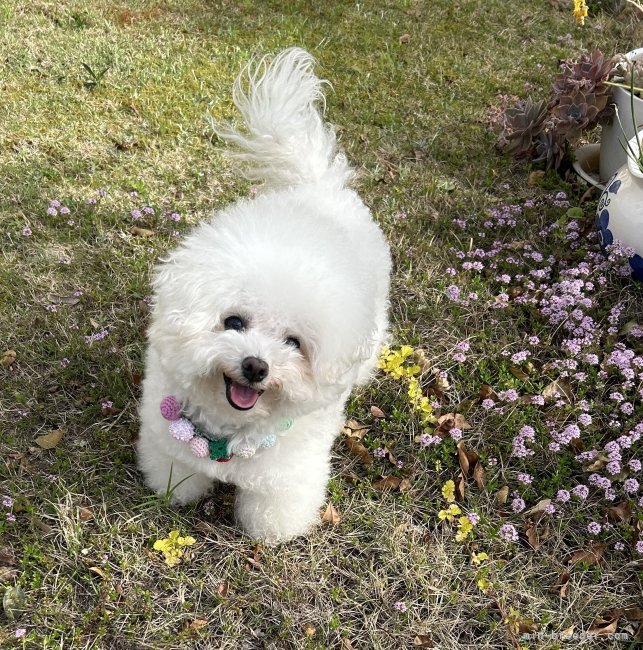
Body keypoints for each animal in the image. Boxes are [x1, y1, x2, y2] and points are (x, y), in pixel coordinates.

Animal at [138, 46, 392, 540]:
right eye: (233, 321)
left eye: (294, 343)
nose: (256, 366)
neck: (229, 429)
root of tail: (315, 184)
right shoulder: (166, 441)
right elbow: (177, 474)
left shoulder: (289, 473)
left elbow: (274, 509)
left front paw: (271, 533)